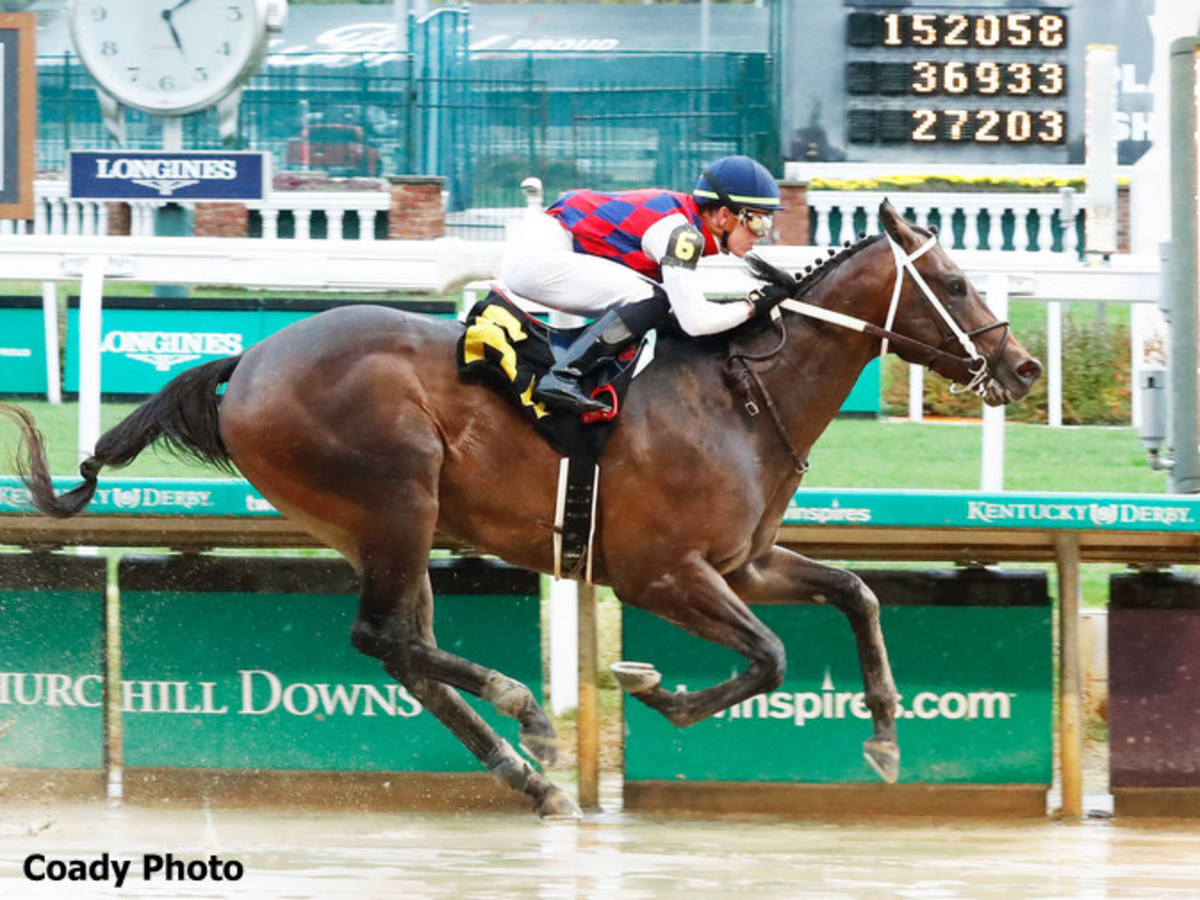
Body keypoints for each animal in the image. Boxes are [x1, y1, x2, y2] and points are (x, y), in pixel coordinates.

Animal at [2, 200, 1041, 820]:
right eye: (953, 282)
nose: (1025, 367)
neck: (744, 394)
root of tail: (248, 360)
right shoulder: (660, 572)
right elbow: (772, 657)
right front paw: (650, 685)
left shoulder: (743, 563)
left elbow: (856, 596)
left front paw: (885, 738)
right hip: (395, 496)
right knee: (383, 637)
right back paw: (528, 715)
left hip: (377, 526)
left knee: (401, 648)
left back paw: (534, 777)